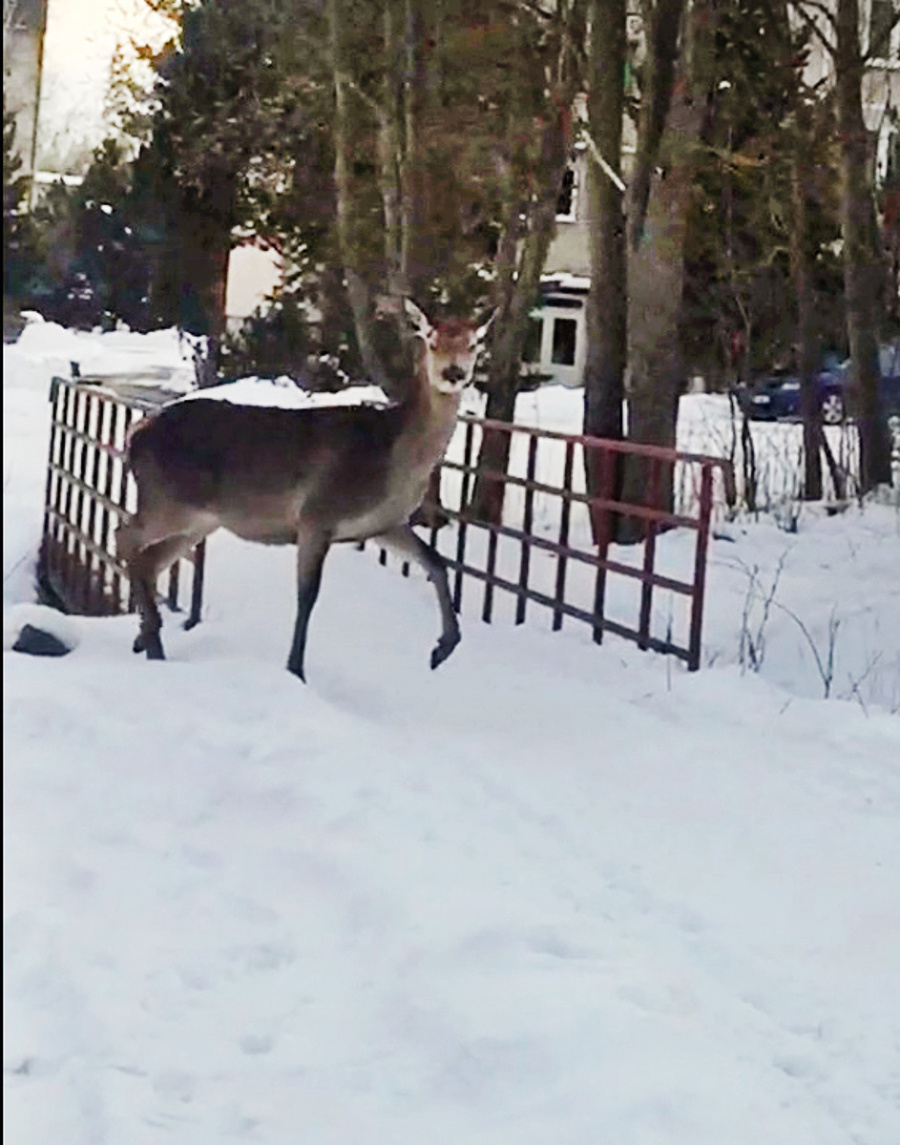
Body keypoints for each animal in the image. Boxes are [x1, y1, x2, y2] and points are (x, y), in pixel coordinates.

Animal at [116, 299, 490, 682]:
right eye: (432, 340)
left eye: (474, 343)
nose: (454, 373)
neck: (391, 458)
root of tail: (134, 433)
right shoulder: (318, 513)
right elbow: (307, 595)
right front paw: (295, 669)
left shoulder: (383, 523)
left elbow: (436, 562)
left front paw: (444, 648)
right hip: (168, 500)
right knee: (125, 535)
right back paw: (152, 638)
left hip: (199, 519)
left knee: (149, 559)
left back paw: (146, 637)